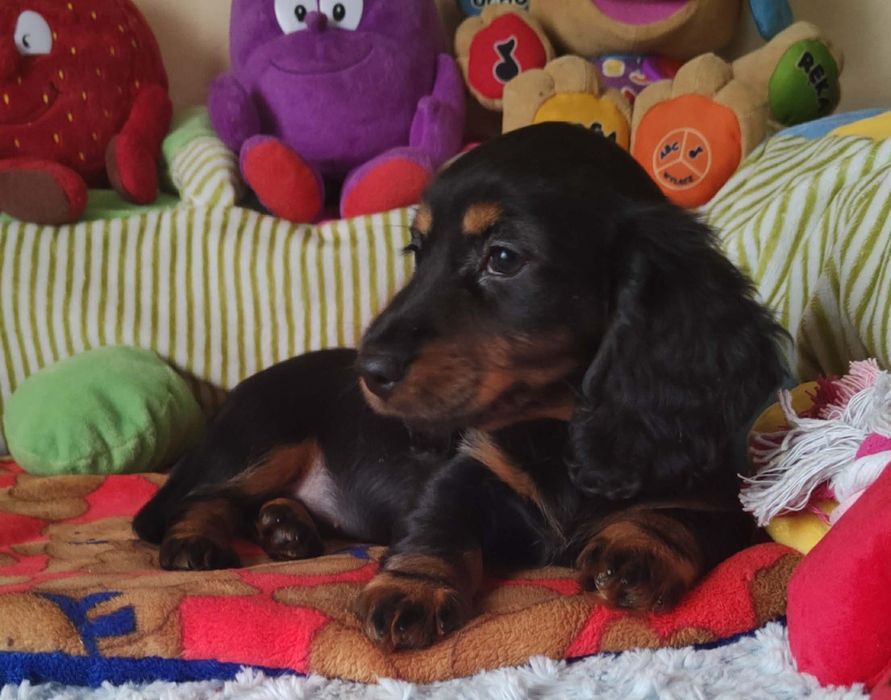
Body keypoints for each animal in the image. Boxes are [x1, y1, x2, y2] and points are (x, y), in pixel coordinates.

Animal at [133, 122, 788, 651]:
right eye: (417, 251)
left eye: (503, 257)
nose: (369, 371)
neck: (557, 427)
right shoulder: (465, 469)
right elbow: (438, 523)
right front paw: (411, 587)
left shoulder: (718, 490)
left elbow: (685, 516)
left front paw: (640, 545)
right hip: (266, 437)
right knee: (201, 498)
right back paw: (199, 542)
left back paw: (284, 527)